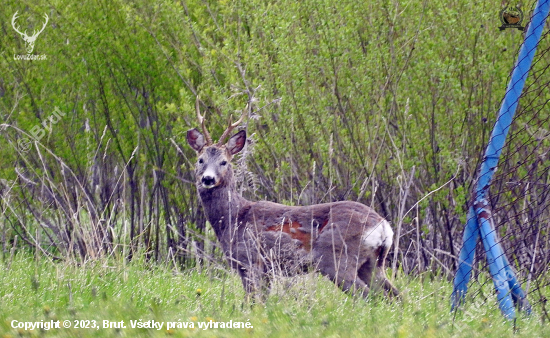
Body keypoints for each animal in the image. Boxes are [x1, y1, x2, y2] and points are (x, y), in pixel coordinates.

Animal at [188, 98, 398, 302]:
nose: (208, 179)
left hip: (336, 259)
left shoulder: (250, 260)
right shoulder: (267, 270)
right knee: (394, 296)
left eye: (224, 161)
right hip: (373, 262)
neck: (233, 218)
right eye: (200, 160)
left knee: (366, 296)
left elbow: (251, 302)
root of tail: (383, 226)